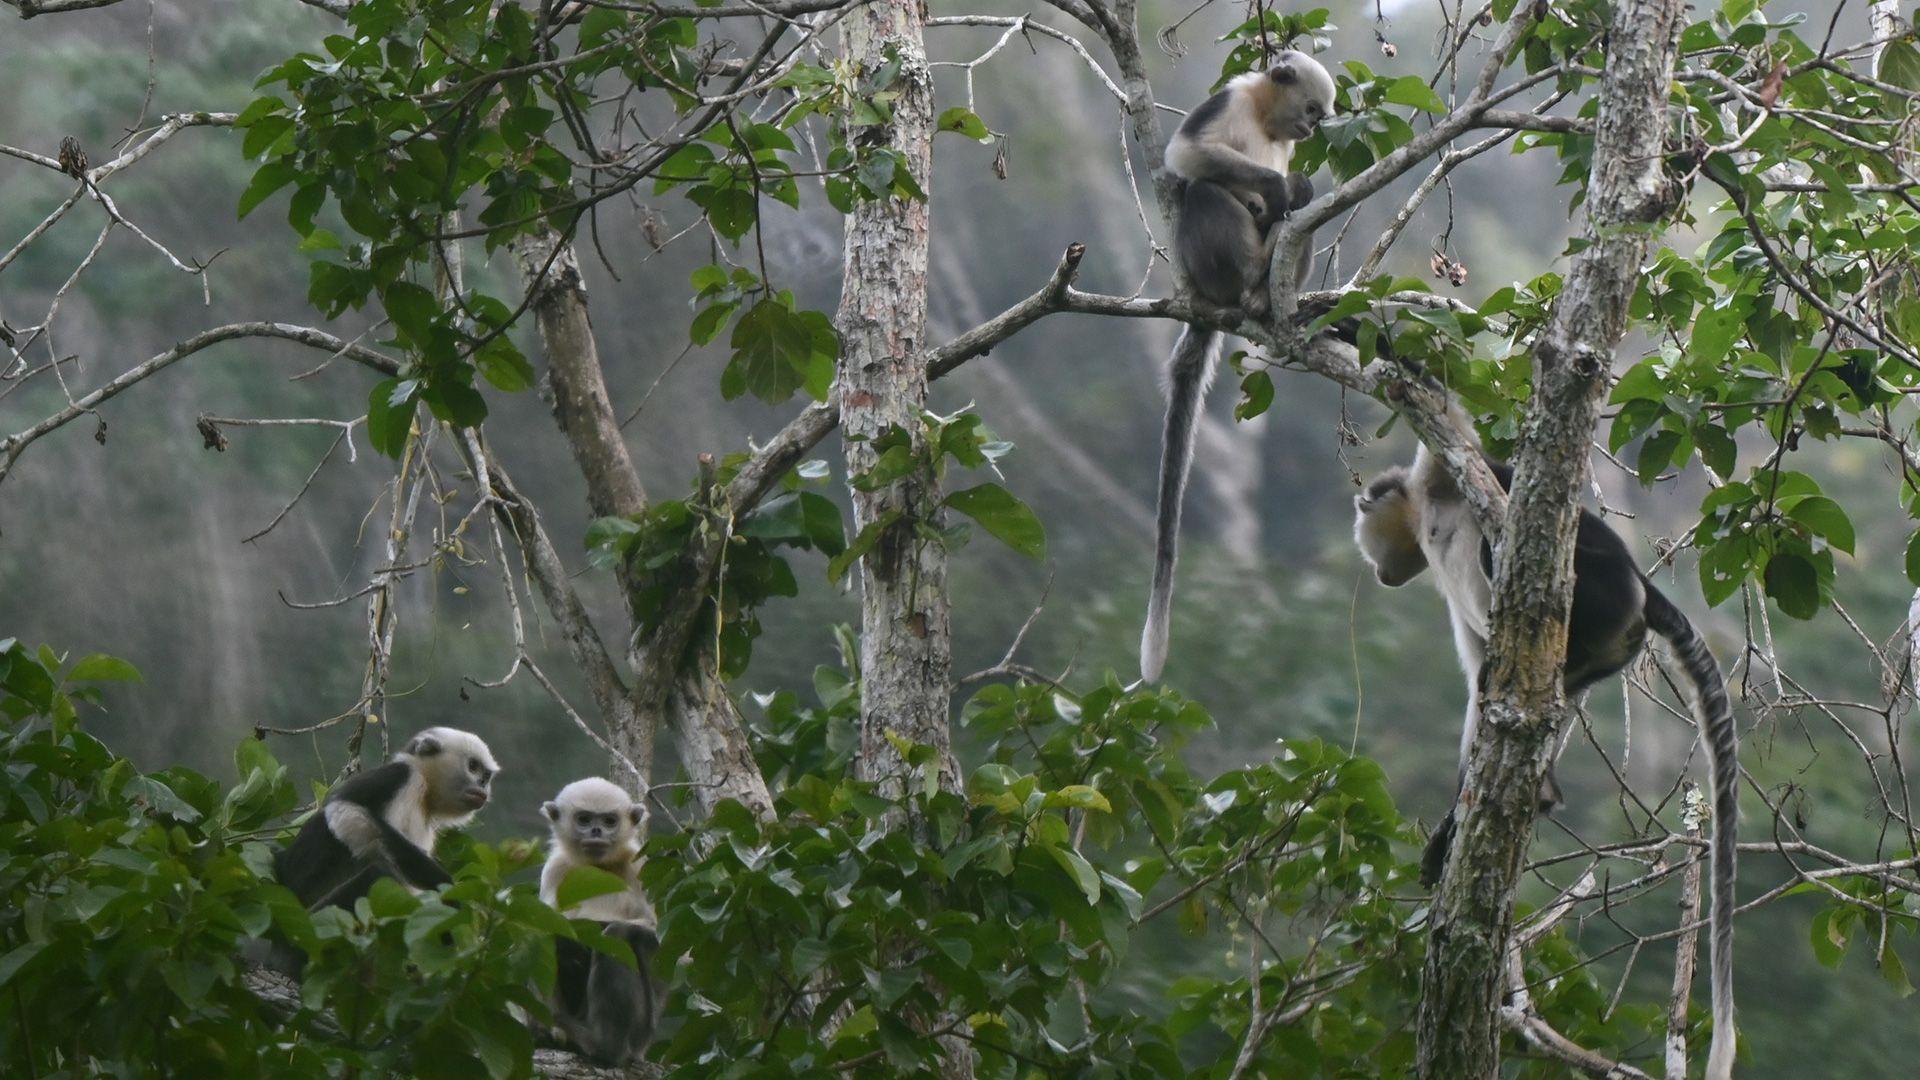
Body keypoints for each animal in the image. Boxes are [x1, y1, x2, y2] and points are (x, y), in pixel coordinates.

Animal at [272, 727, 498, 912]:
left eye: (486, 776)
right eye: (473, 767)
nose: (483, 785)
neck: (424, 790)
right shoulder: (400, 775)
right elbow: (344, 809)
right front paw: (443, 884)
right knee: (379, 872)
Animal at [538, 777, 661, 1065]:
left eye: (609, 821)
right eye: (584, 819)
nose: (596, 830)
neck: (598, 868)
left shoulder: (640, 866)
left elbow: (661, 938)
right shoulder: (555, 869)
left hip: (641, 1032)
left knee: (618, 936)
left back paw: (605, 1047)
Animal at [1141, 50, 1336, 682]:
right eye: (1312, 110)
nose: (1312, 131)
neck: (1266, 122)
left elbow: (1300, 199)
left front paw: (1291, 188)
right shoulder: (1226, 102)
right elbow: (1185, 155)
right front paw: (1273, 186)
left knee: (1303, 219)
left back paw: (1269, 302)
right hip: (1212, 264)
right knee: (1206, 191)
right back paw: (1248, 284)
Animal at [1354, 438, 1736, 1080]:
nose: (1381, 573)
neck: (1428, 519)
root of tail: (1642, 589)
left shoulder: (1449, 478)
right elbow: (1473, 691)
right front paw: (1447, 834)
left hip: (1602, 596)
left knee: (1512, 549)